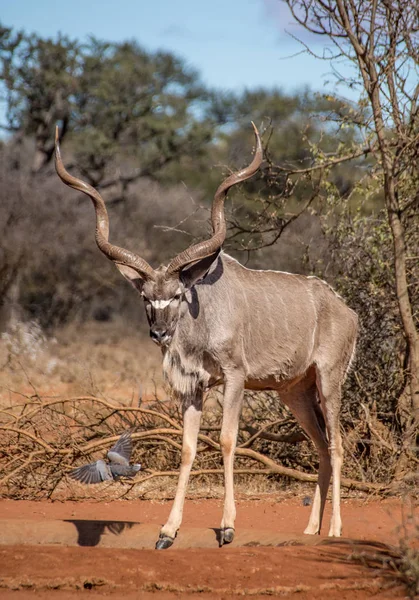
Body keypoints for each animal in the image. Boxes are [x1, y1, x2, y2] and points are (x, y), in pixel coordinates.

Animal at [55, 125, 358, 548]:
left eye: (178, 295)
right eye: (146, 298)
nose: (159, 332)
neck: (204, 317)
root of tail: (346, 310)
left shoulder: (235, 377)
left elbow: (228, 440)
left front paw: (228, 526)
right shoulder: (194, 388)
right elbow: (187, 447)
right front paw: (167, 531)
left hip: (329, 382)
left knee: (337, 443)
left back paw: (334, 530)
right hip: (294, 391)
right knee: (321, 446)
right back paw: (311, 528)